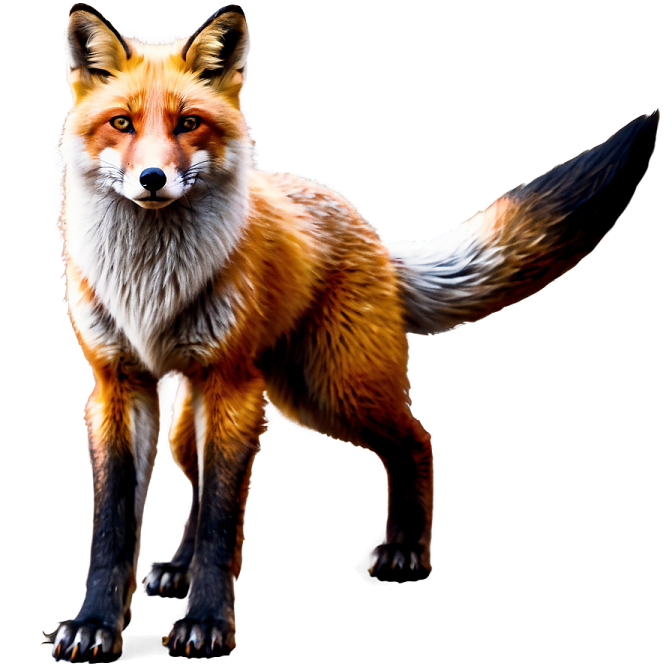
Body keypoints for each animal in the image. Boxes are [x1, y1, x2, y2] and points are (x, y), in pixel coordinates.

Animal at [45, 2, 659, 662]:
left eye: (188, 123)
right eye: (122, 123)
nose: (153, 178)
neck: (153, 290)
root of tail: (366, 227)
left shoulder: (231, 388)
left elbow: (221, 524)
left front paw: (207, 622)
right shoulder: (117, 386)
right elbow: (116, 527)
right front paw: (95, 624)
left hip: (330, 392)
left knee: (416, 441)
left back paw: (406, 551)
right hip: (210, 418)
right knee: (203, 482)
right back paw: (178, 567)